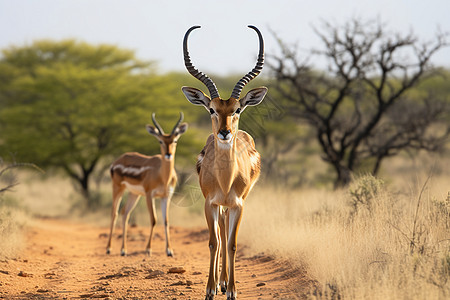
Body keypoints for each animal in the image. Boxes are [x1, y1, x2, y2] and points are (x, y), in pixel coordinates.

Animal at [106, 112, 187, 255]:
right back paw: (109, 248)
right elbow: (154, 219)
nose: (168, 154)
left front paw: (169, 250)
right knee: (114, 213)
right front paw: (148, 249)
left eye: (175, 140)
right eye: (160, 141)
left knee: (125, 213)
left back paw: (123, 250)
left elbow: (166, 221)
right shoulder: (150, 195)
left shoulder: (166, 196)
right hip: (118, 188)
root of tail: (116, 161)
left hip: (134, 194)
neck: (162, 176)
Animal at [183, 25, 268, 300]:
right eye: (211, 109)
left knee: (225, 234)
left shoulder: (239, 205)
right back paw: (218, 283)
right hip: (219, 206)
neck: (225, 179)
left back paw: (224, 283)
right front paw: (210, 289)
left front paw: (232, 290)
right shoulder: (209, 203)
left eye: (237, 109)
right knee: (219, 232)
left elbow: (232, 244)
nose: (224, 132)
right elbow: (214, 242)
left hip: (230, 205)